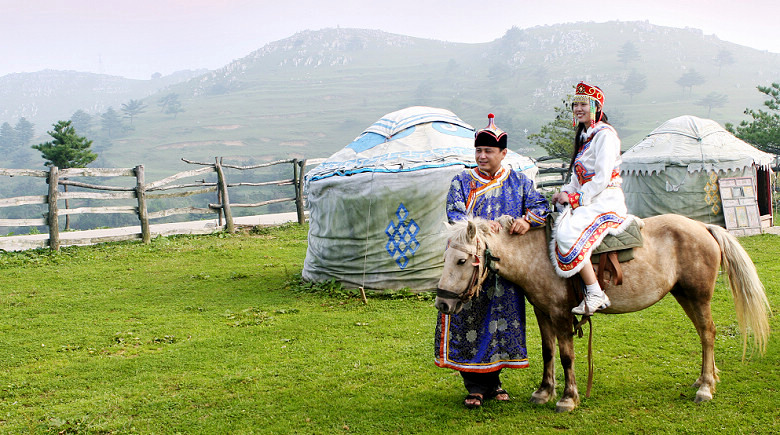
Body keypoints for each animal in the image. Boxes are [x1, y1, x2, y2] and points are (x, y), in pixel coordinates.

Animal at [436, 216, 772, 414]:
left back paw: (705, 388)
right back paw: (705, 379)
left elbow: (567, 355)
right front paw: (544, 392)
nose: (442, 304)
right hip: (684, 295)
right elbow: (548, 352)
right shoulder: (542, 312)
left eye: (462, 260)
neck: (536, 255)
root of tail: (703, 227)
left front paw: (568, 398)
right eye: (445, 257)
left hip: (698, 296)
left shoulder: (560, 314)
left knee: (709, 333)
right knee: (705, 334)